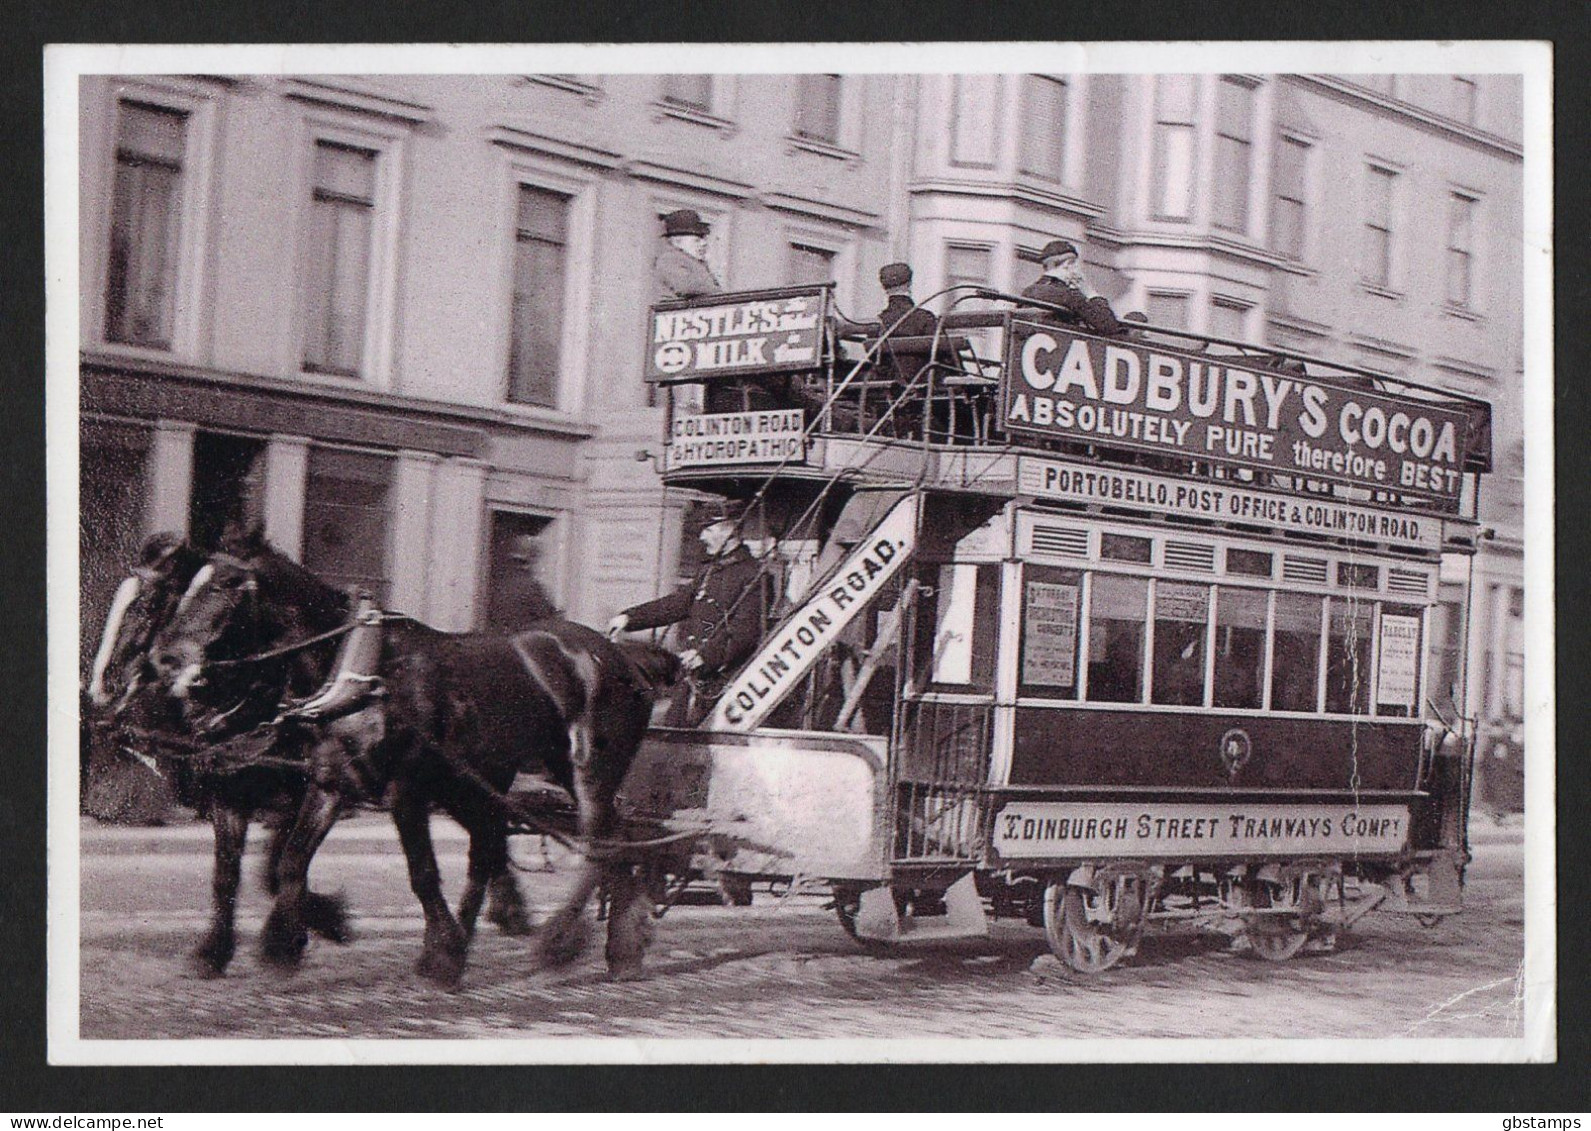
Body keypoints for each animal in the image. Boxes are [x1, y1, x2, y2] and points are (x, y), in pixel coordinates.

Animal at [155, 531, 684, 979]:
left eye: (225, 584)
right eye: (188, 583)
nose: (167, 658)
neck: (360, 672)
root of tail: (627, 659)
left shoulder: (404, 787)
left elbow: (422, 873)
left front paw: (438, 955)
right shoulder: (329, 781)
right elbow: (286, 862)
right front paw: (277, 945)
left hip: (588, 770)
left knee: (602, 845)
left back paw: (560, 941)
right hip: (486, 780)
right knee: (534, 845)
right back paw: (618, 944)